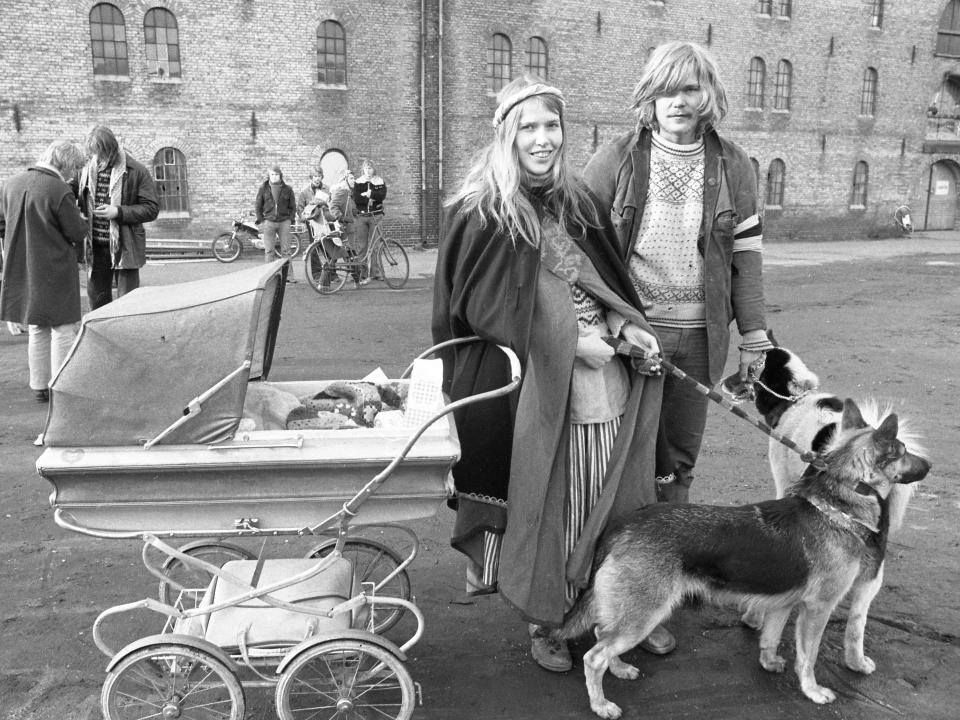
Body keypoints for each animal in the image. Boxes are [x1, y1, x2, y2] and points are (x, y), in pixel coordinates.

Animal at [560, 400, 928, 720]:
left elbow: (770, 637)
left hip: (630, 613)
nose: (931, 466)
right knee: (594, 657)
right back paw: (601, 704)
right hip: (644, 615)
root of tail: (622, 526)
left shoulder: (784, 602)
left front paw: (770, 663)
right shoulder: (818, 609)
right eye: (902, 452)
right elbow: (808, 657)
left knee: (601, 635)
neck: (836, 506)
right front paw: (812, 691)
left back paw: (620, 668)